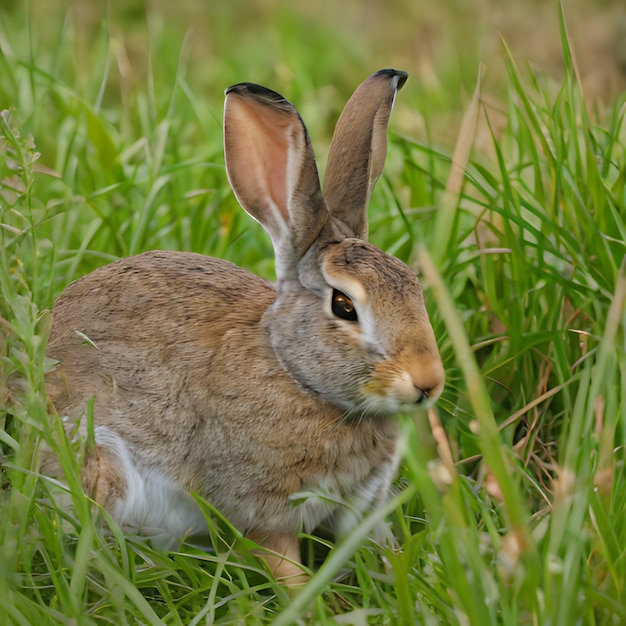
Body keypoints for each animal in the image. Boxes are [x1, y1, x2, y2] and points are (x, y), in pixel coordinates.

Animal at [44, 70, 444, 584]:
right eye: (344, 306)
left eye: (414, 285)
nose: (428, 382)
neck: (297, 375)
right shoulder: (262, 505)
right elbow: (282, 562)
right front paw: (309, 597)